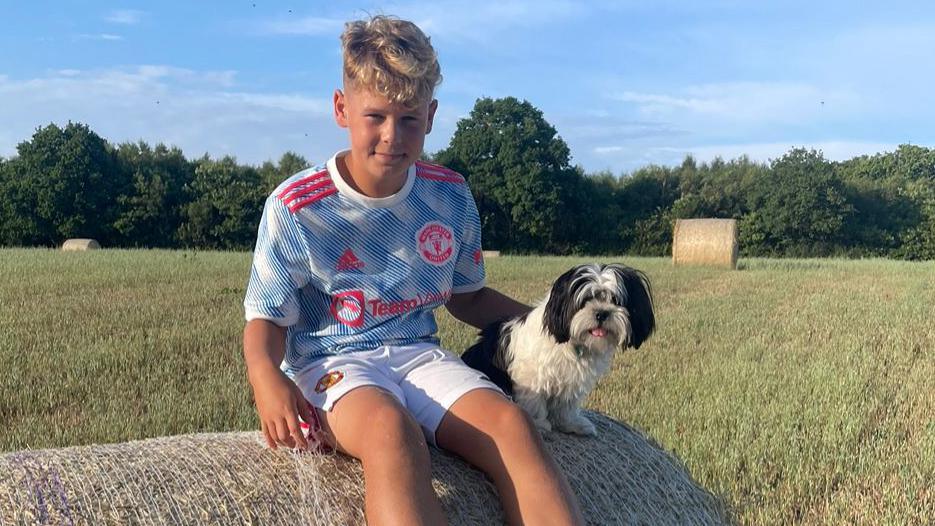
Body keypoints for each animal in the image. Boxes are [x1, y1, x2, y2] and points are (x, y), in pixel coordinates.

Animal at [462, 264, 656, 438]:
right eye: (585, 300)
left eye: (615, 300)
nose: (601, 313)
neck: (572, 344)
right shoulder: (531, 378)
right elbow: (534, 402)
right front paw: (539, 425)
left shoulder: (573, 380)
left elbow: (566, 405)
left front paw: (571, 424)